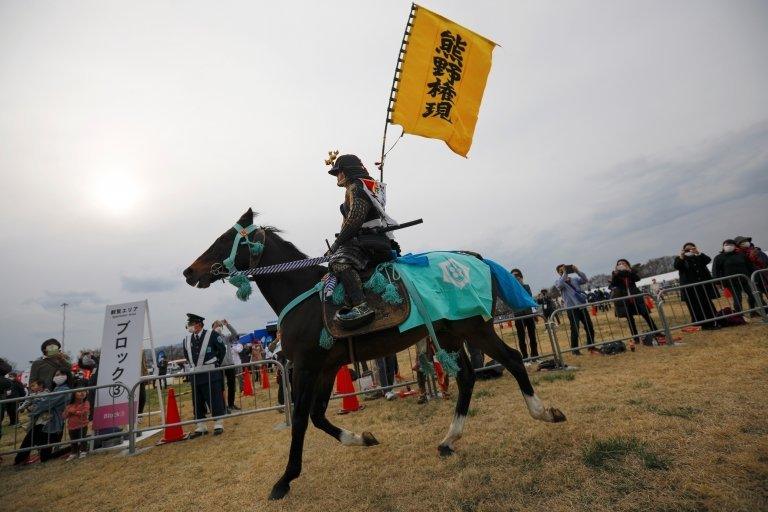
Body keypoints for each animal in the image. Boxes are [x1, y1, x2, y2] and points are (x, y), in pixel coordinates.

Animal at [185, 208, 568, 500]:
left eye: (222, 240)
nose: (189, 271)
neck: (301, 293)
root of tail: (473, 259)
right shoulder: (327, 367)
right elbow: (318, 416)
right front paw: (361, 438)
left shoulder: (305, 366)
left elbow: (301, 420)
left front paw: (284, 480)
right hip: (449, 333)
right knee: (467, 377)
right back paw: (449, 439)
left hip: (475, 328)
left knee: (513, 360)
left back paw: (544, 413)